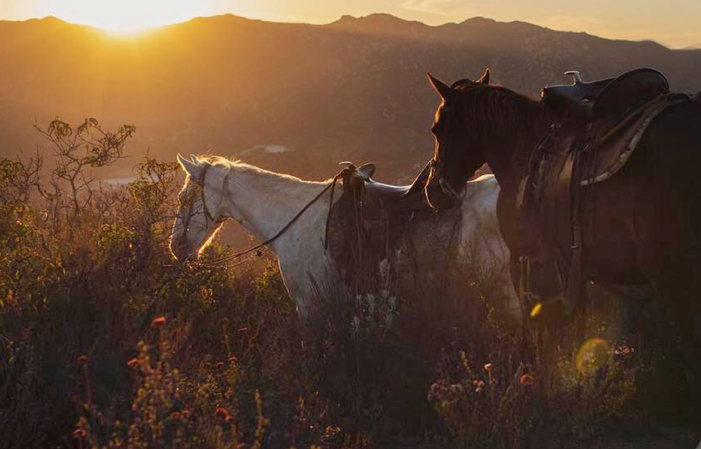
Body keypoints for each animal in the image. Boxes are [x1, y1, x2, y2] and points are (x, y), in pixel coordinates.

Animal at [422, 70, 700, 370]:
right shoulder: (572, 268)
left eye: (436, 128)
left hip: (672, 277)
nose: (432, 191)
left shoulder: (523, 259)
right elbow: (576, 327)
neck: (525, 145)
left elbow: (537, 329)